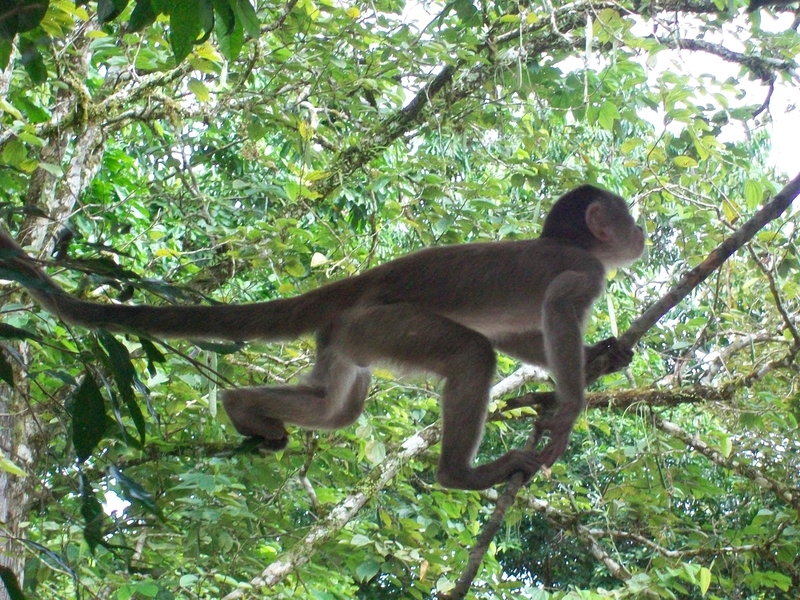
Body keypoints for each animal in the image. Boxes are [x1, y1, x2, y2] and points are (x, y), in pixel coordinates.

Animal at [0, 184, 645, 490]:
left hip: (347, 337)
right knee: (470, 354)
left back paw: (242, 406)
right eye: (627, 219)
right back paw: (458, 475)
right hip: (383, 323)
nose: (641, 234)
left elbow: (520, 331)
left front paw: (600, 356)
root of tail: (362, 283)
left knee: (337, 408)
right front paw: (571, 405)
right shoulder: (585, 269)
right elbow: (553, 310)